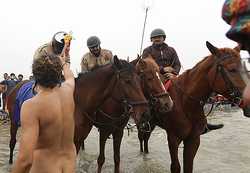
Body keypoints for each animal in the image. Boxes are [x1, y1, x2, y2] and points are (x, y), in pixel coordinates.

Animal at [7, 55, 149, 164]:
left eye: (140, 79)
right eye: (127, 80)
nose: (144, 112)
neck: (78, 103)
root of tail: (17, 85)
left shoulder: (79, 140)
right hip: (14, 122)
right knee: (13, 142)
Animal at [137, 42, 250, 173]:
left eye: (245, 69)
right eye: (232, 69)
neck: (186, 104)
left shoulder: (193, 140)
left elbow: (188, 166)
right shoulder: (173, 139)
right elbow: (175, 167)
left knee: (146, 138)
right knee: (142, 137)